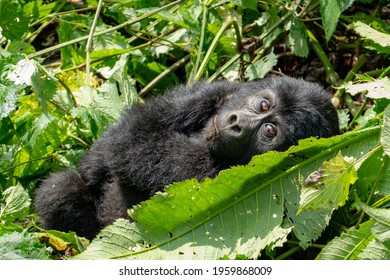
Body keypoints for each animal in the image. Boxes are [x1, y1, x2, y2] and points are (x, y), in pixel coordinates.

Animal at [34, 76, 338, 238]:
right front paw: (92, 169)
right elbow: (129, 133)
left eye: (270, 131)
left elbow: (139, 146)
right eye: (264, 105)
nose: (237, 123)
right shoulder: (212, 91)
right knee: (62, 188)